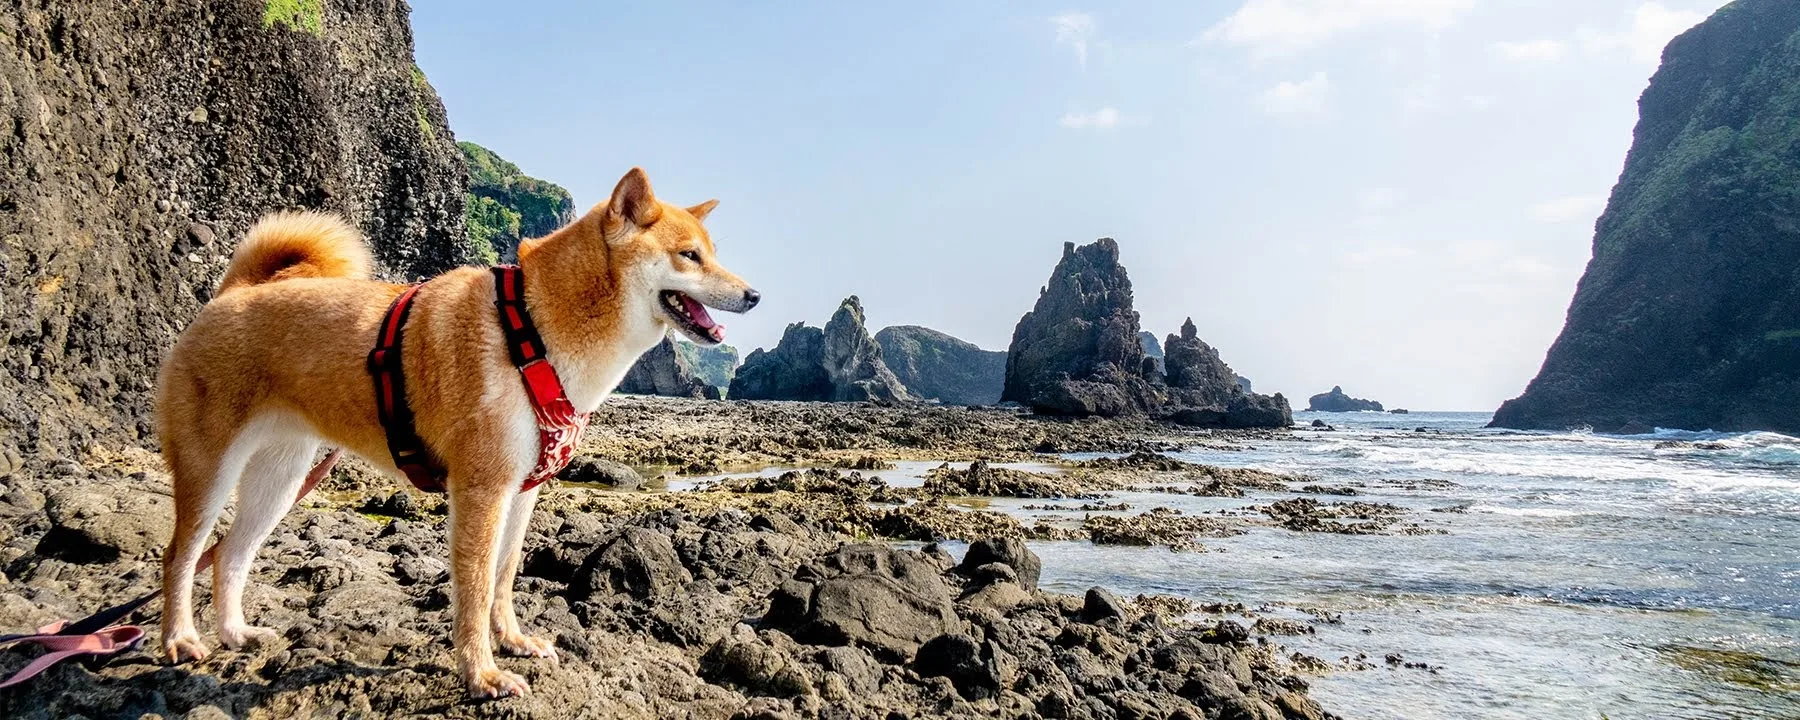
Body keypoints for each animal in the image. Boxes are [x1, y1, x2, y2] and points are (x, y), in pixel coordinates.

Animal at [147, 169, 752, 698]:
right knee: (181, 555)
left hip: (281, 477)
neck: (533, 329)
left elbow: (503, 578)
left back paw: (235, 634)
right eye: (689, 255)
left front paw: (512, 642)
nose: (754, 296)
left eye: (713, 252)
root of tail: (232, 292)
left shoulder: (521, 490)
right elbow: (475, 590)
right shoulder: (482, 488)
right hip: (210, 468)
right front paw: (481, 675)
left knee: (231, 555)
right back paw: (180, 638)